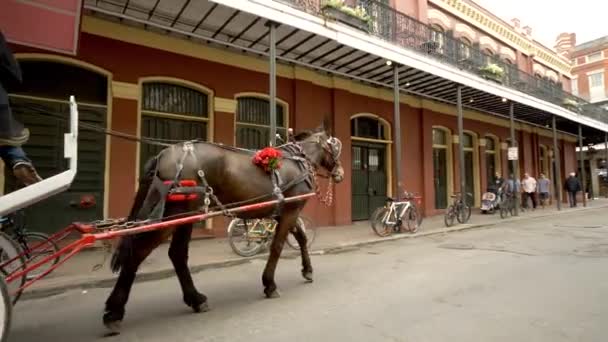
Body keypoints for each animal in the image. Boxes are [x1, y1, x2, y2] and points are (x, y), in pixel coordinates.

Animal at [102, 119, 344, 332]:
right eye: (335, 145)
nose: (341, 173)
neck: (296, 160)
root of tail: (164, 155)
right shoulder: (291, 211)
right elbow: (277, 247)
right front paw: (270, 284)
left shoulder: (283, 211)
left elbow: (302, 238)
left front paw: (307, 270)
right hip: (174, 215)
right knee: (139, 252)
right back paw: (114, 311)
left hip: (187, 215)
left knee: (177, 254)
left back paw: (195, 299)